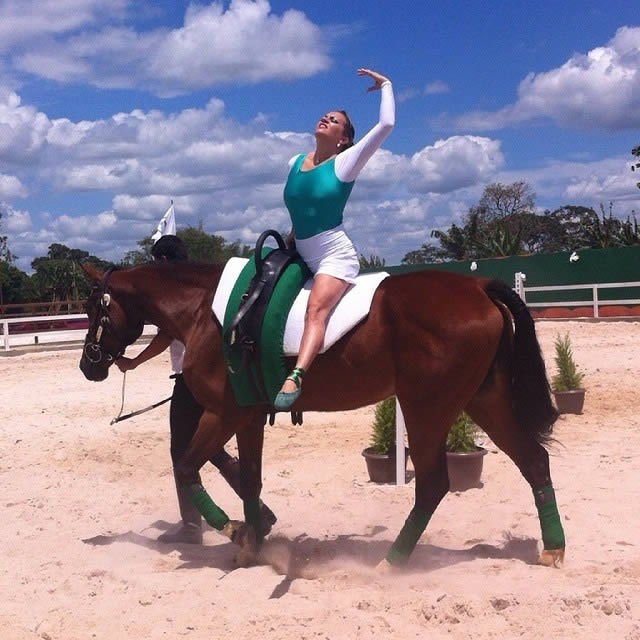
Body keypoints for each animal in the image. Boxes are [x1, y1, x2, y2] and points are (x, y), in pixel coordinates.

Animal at [79, 262, 564, 568]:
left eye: (92, 308)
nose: (89, 365)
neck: (210, 312)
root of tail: (476, 285)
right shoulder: (248, 419)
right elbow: (249, 481)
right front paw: (254, 543)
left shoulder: (223, 415)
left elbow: (185, 466)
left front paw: (235, 531)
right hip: (484, 401)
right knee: (534, 461)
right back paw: (553, 549)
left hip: (427, 409)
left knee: (433, 485)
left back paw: (391, 563)